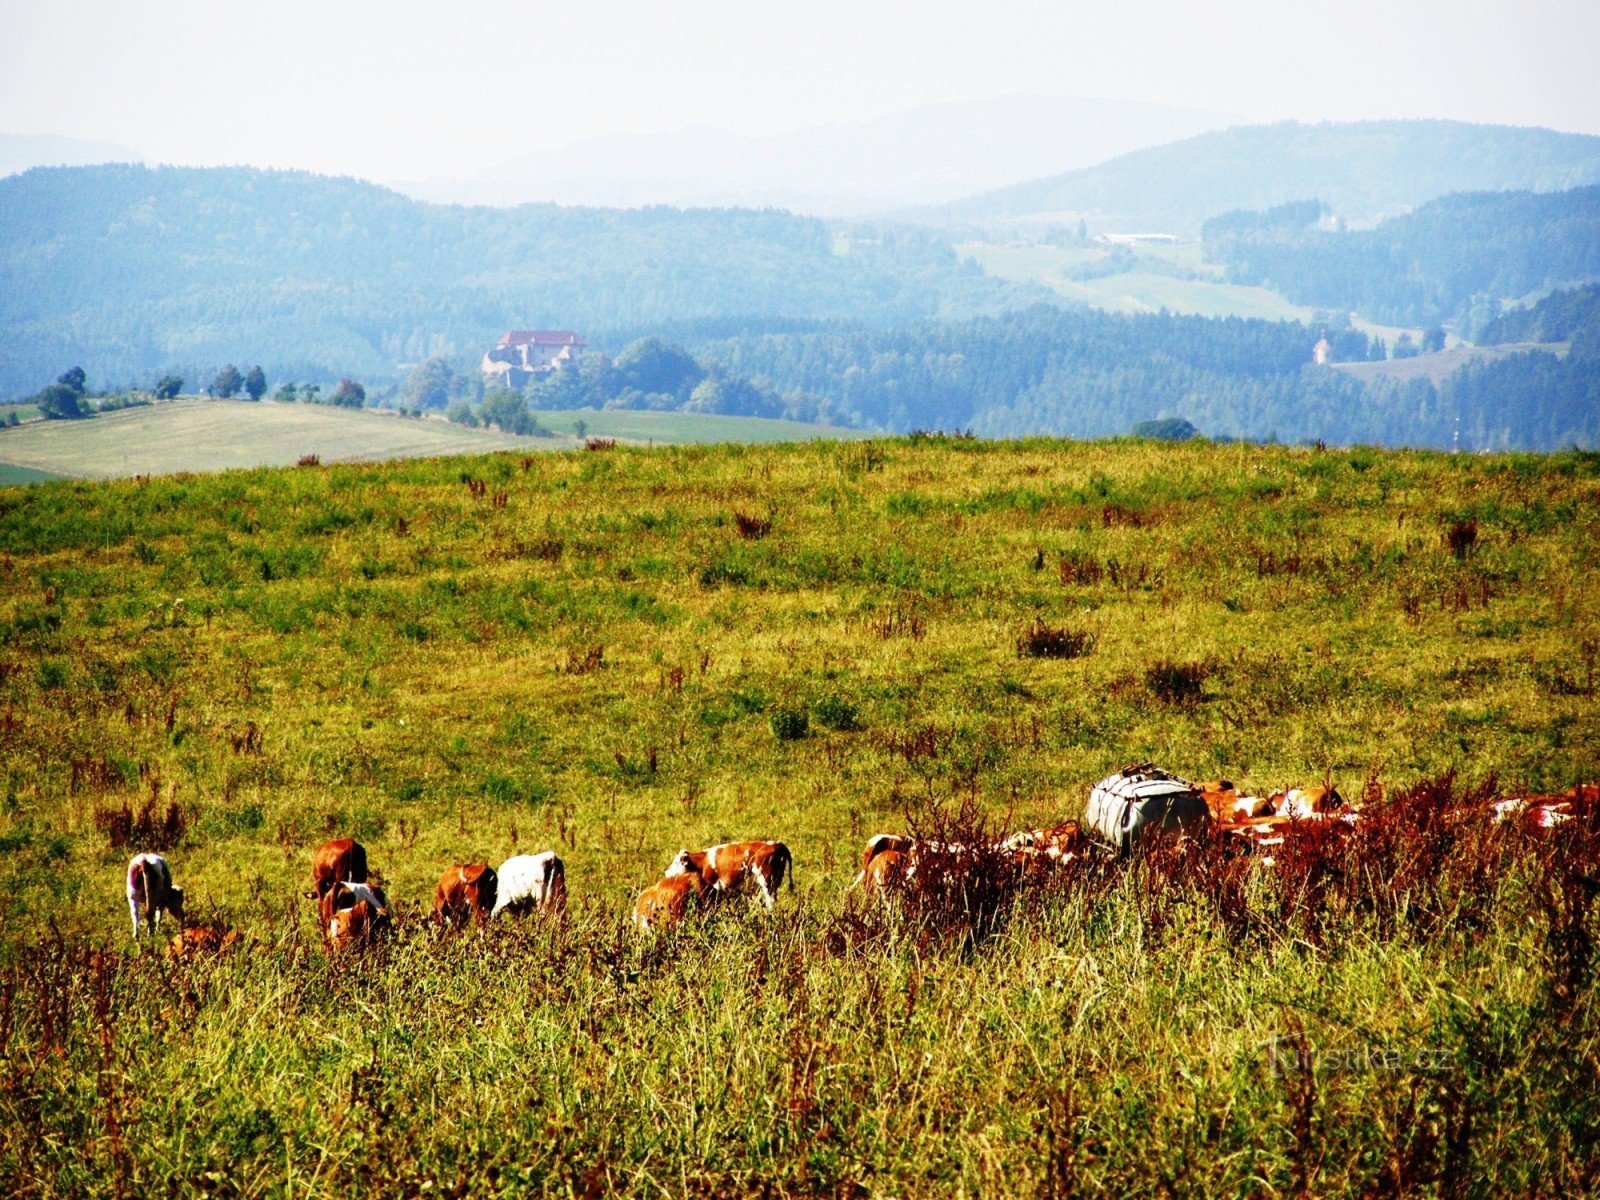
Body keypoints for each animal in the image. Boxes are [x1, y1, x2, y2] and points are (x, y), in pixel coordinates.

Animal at [659, 838, 790, 908]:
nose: (666, 873)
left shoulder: (715, 885)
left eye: (676, 862)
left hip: (768, 883)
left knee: (771, 903)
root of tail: (777, 844)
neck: (703, 861)